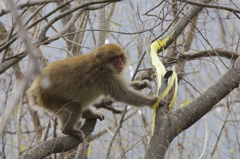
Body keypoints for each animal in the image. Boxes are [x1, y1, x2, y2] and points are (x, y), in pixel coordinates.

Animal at [27, 43, 158, 140]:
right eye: (115, 58)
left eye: (120, 56)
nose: (121, 63)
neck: (100, 64)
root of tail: (35, 89)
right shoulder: (104, 76)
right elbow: (123, 94)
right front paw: (152, 101)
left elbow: (125, 88)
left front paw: (141, 83)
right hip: (51, 99)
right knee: (74, 106)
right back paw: (68, 130)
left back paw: (88, 113)